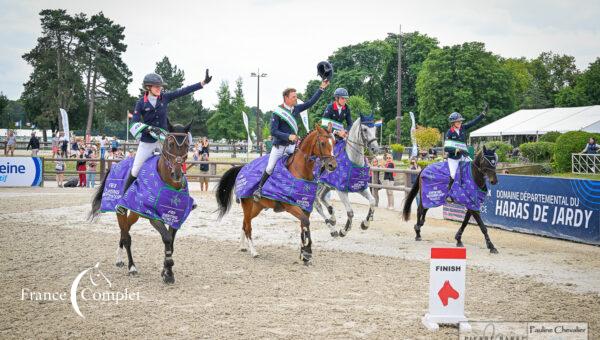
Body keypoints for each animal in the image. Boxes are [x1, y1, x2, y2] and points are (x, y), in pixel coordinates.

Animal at [88, 121, 192, 282]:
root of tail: (115, 165)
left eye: (187, 145)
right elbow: (167, 239)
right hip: (121, 210)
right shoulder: (153, 217)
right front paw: (168, 271)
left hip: (135, 213)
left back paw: (119, 259)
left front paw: (166, 270)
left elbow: (171, 244)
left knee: (125, 230)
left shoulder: (175, 217)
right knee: (126, 237)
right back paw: (132, 267)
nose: (177, 174)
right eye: (170, 144)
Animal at [216, 124, 338, 262]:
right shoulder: (291, 206)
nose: (332, 165)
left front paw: (303, 253)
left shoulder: (305, 207)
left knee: (244, 223)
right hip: (247, 205)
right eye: (322, 143)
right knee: (248, 226)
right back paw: (253, 251)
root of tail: (242, 168)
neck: (300, 171)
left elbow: (304, 225)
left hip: (257, 207)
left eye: (334, 142)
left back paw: (242, 246)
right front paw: (307, 252)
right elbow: (306, 223)